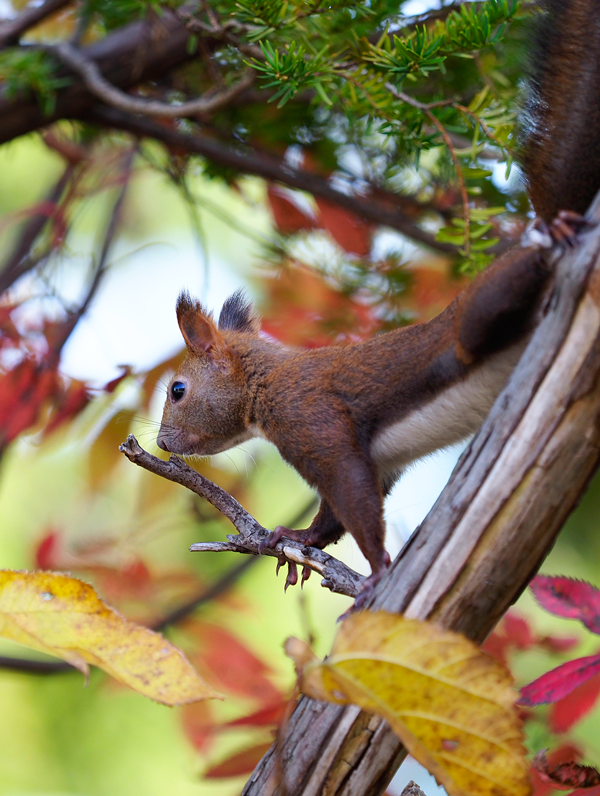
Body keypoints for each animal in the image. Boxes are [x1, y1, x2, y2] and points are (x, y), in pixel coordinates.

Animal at [158, 0, 600, 608]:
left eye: (178, 390)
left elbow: (355, 501)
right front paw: (295, 540)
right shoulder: (379, 461)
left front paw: (376, 571)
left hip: (472, 317)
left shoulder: (314, 423)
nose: (160, 442)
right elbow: (335, 517)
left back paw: (546, 238)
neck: (267, 382)